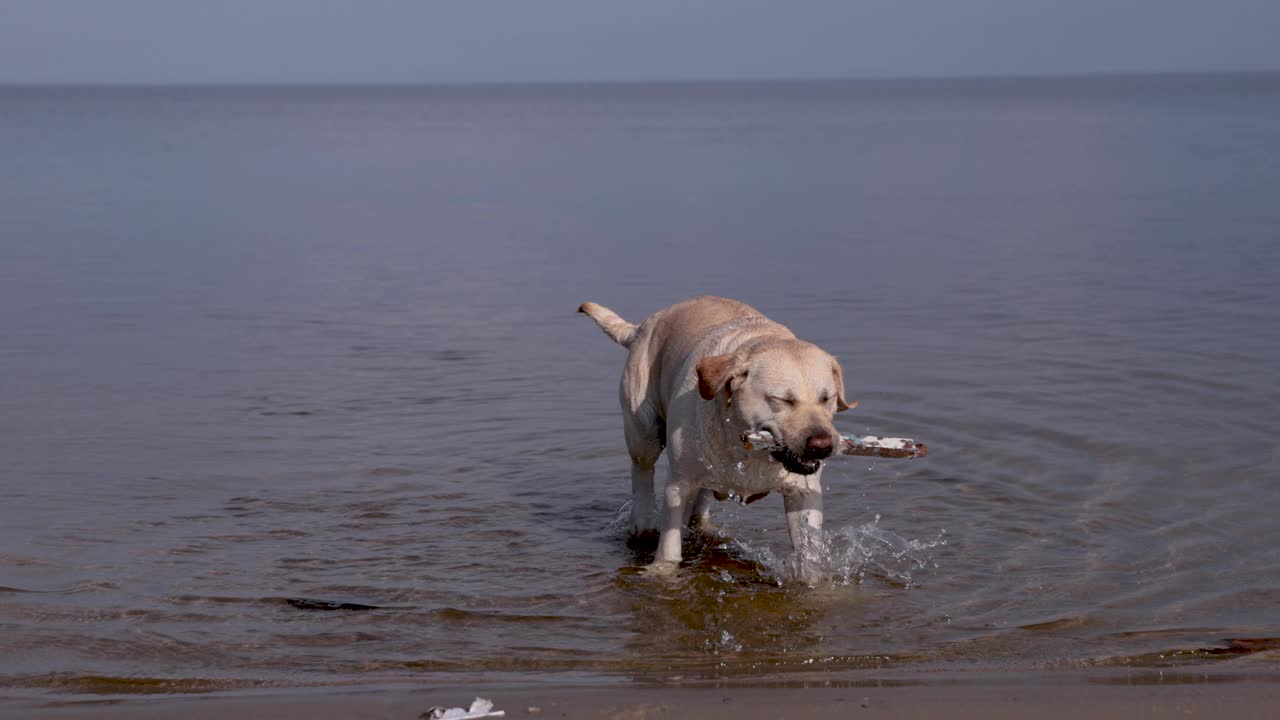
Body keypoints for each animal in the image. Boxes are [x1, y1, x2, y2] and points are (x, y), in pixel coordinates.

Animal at [583, 294, 860, 568]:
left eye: (827, 398)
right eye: (783, 400)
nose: (822, 445)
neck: (744, 444)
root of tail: (643, 326)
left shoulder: (804, 492)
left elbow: (808, 552)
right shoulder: (678, 484)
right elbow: (670, 544)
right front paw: (662, 570)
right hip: (643, 426)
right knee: (642, 470)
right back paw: (643, 523)